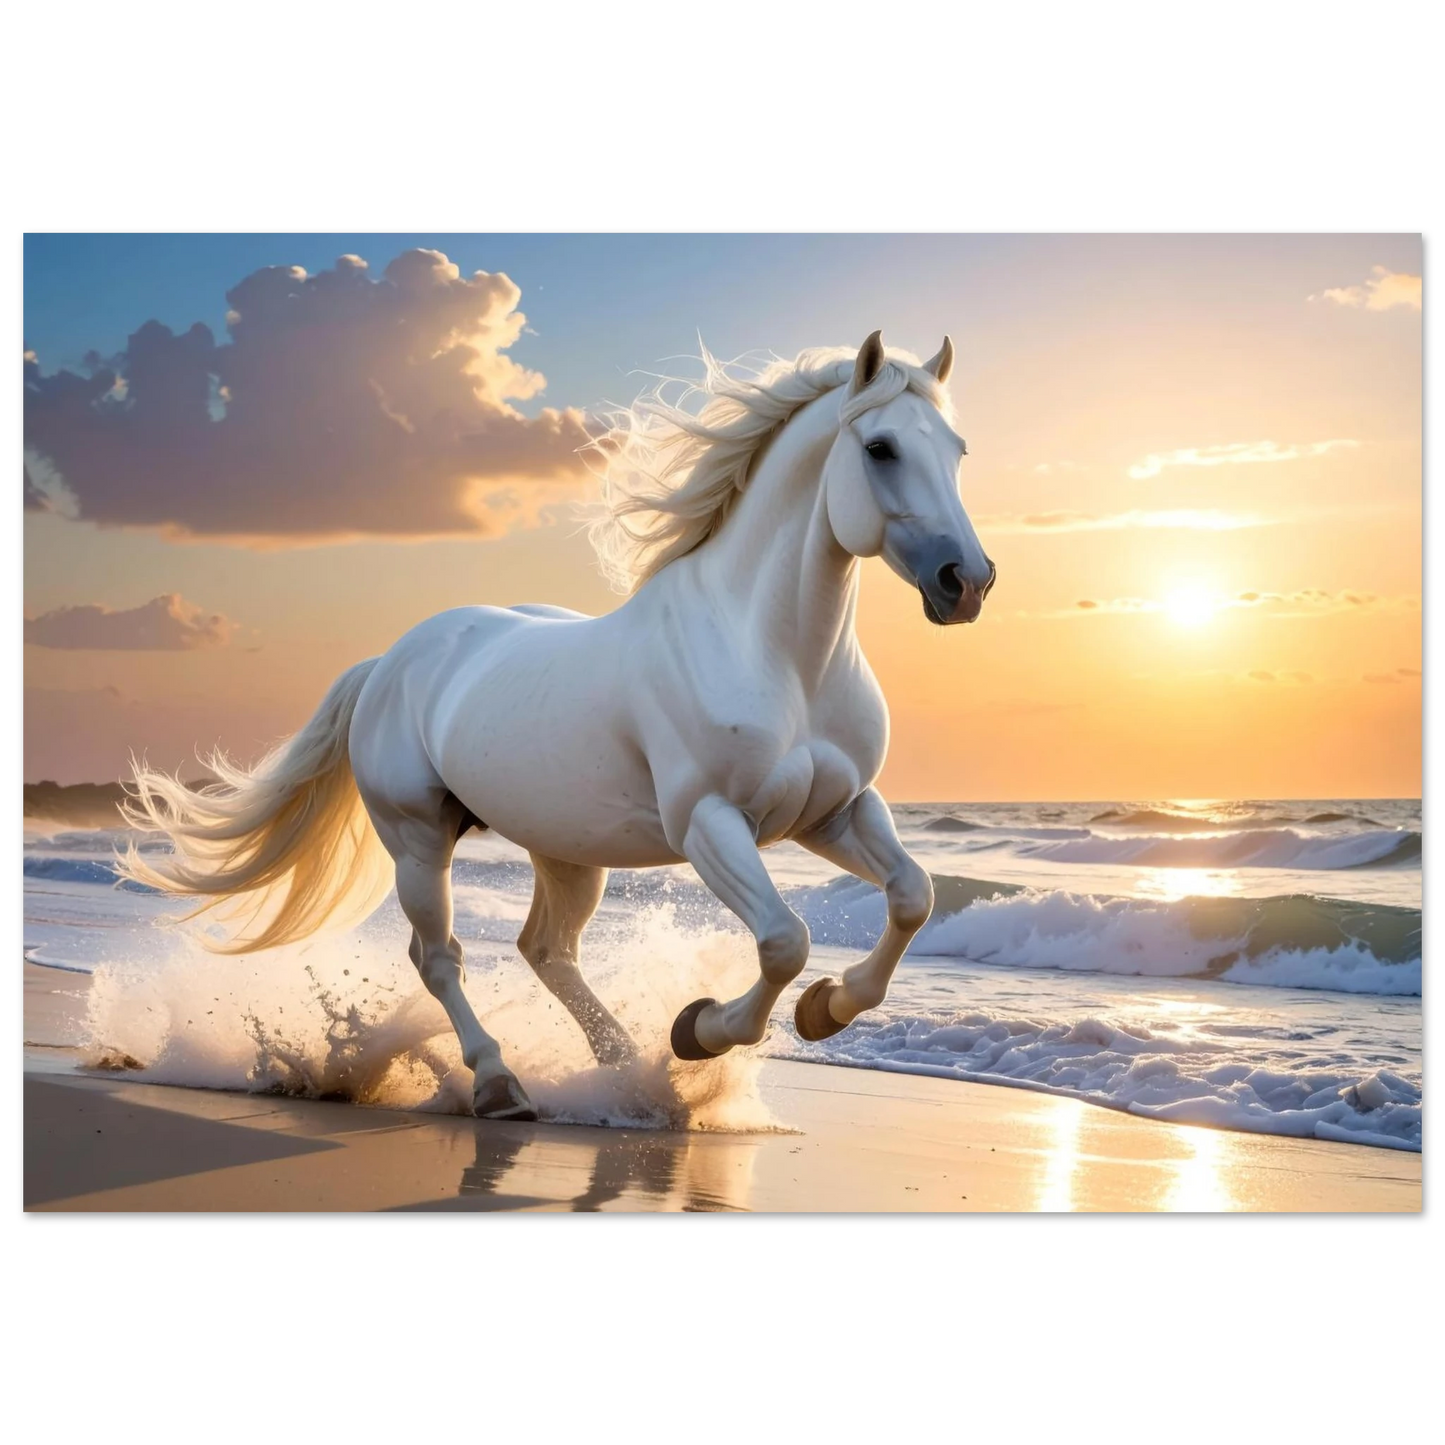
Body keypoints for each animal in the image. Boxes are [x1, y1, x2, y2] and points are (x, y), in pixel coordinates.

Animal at [118, 330, 997, 1121]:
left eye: (957, 450)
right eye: (880, 448)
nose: (967, 582)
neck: (777, 654)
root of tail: (388, 661)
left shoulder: (835, 811)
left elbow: (911, 895)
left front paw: (823, 1008)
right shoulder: (711, 822)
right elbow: (785, 938)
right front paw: (701, 1029)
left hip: (566, 850)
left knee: (546, 951)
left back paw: (624, 1072)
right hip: (417, 836)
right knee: (439, 957)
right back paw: (501, 1082)